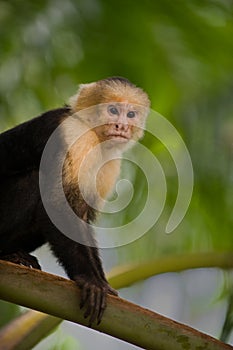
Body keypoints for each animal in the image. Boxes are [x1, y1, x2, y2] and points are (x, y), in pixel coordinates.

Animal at [0, 76, 149, 326]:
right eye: (113, 110)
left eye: (130, 114)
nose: (122, 127)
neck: (91, 131)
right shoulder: (73, 135)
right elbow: (58, 206)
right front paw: (90, 280)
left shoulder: (111, 162)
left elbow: (82, 215)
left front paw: (103, 283)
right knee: (34, 181)